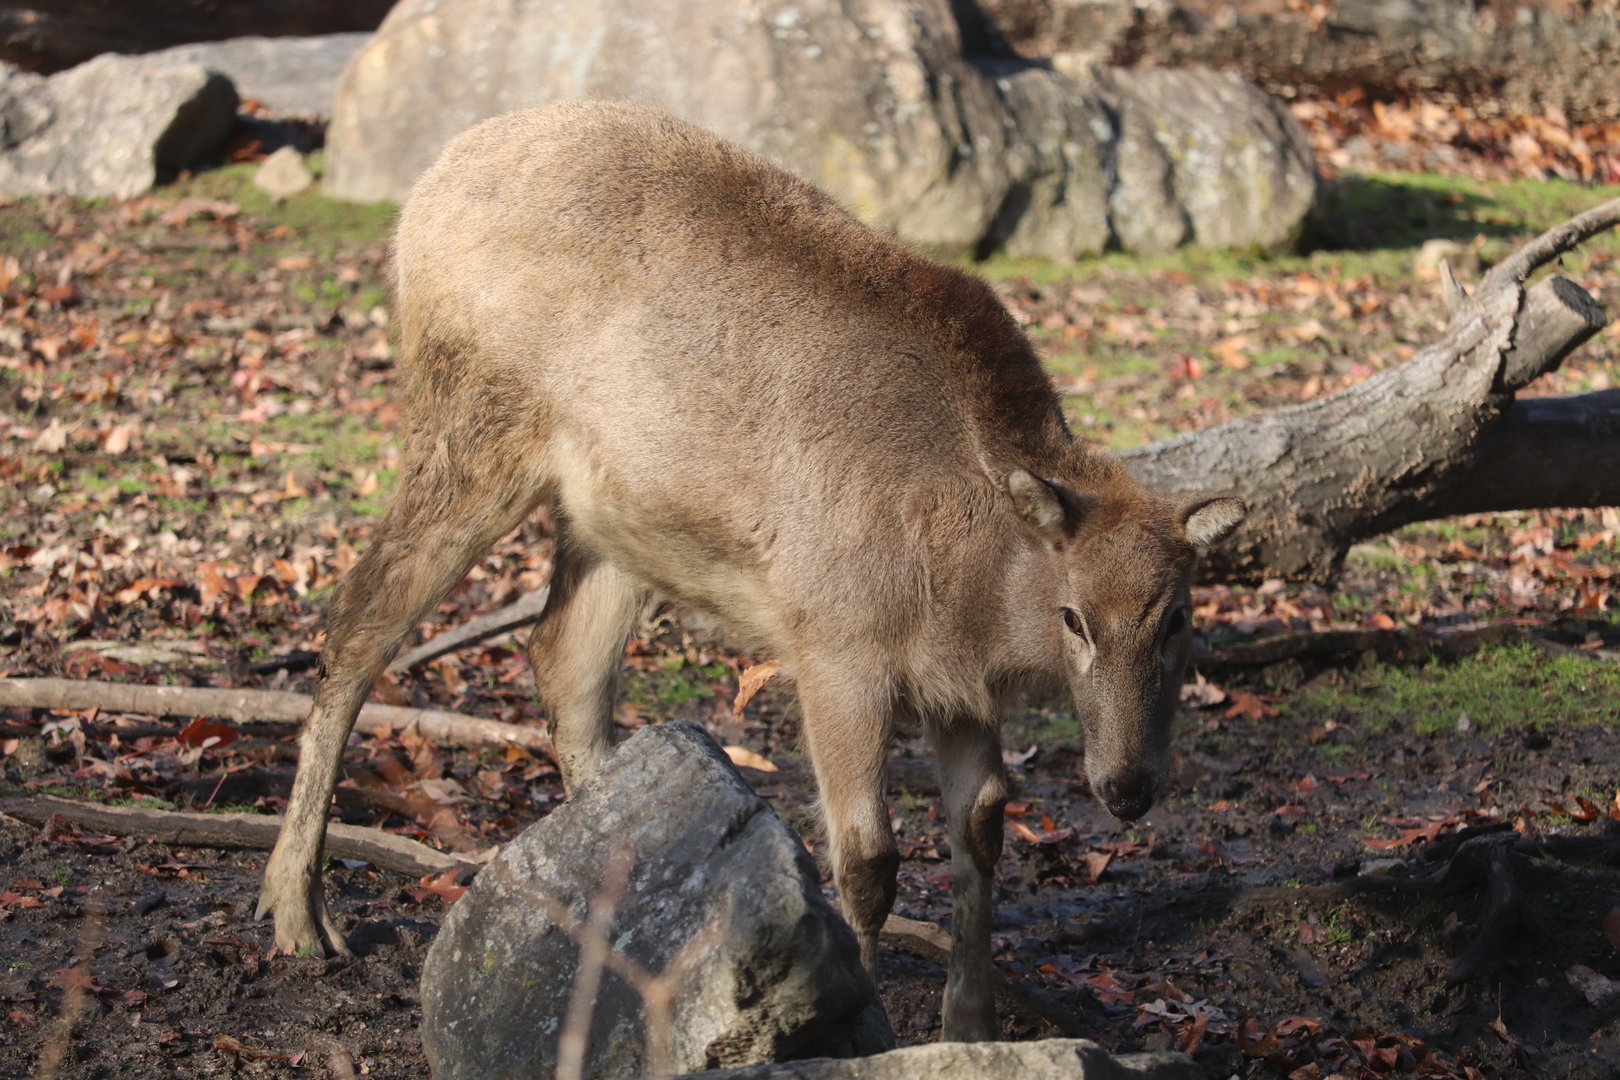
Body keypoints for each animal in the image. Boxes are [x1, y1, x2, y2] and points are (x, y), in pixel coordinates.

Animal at [256, 101, 1244, 1041]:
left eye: (1179, 616)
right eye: (1076, 616)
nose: (1127, 787)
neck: (977, 587)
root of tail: (419, 199)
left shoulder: (958, 690)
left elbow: (984, 825)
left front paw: (973, 1026)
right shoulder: (836, 646)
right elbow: (868, 858)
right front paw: (868, 1027)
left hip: (613, 527)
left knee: (563, 663)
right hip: (469, 434)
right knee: (357, 622)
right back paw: (298, 914)